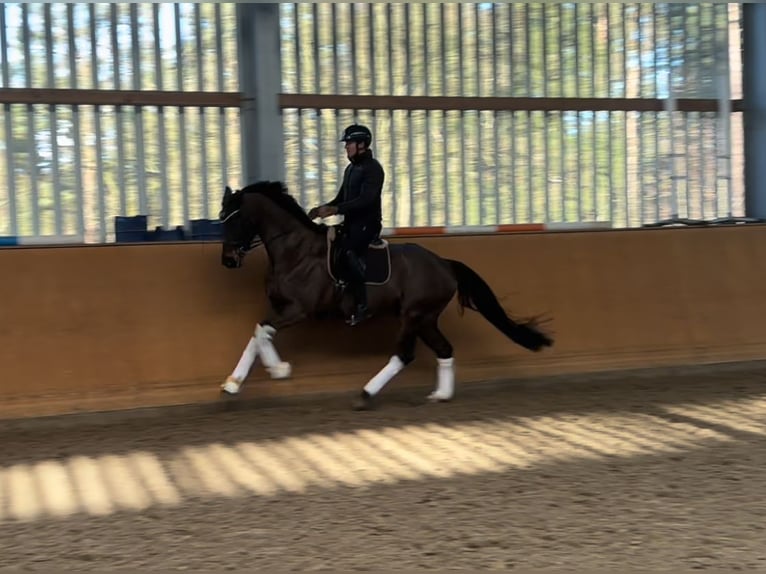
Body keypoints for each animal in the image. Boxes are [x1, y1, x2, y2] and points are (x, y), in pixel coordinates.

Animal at [216, 182, 552, 412]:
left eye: (236, 219)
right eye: (221, 218)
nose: (228, 261)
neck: (295, 251)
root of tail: (444, 264)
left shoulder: (298, 310)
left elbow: (261, 331)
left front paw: (278, 370)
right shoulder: (279, 308)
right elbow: (258, 334)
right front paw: (236, 383)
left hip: (413, 315)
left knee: (404, 355)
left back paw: (365, 395)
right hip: (426, 318)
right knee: (444, 349)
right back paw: (440, 395)